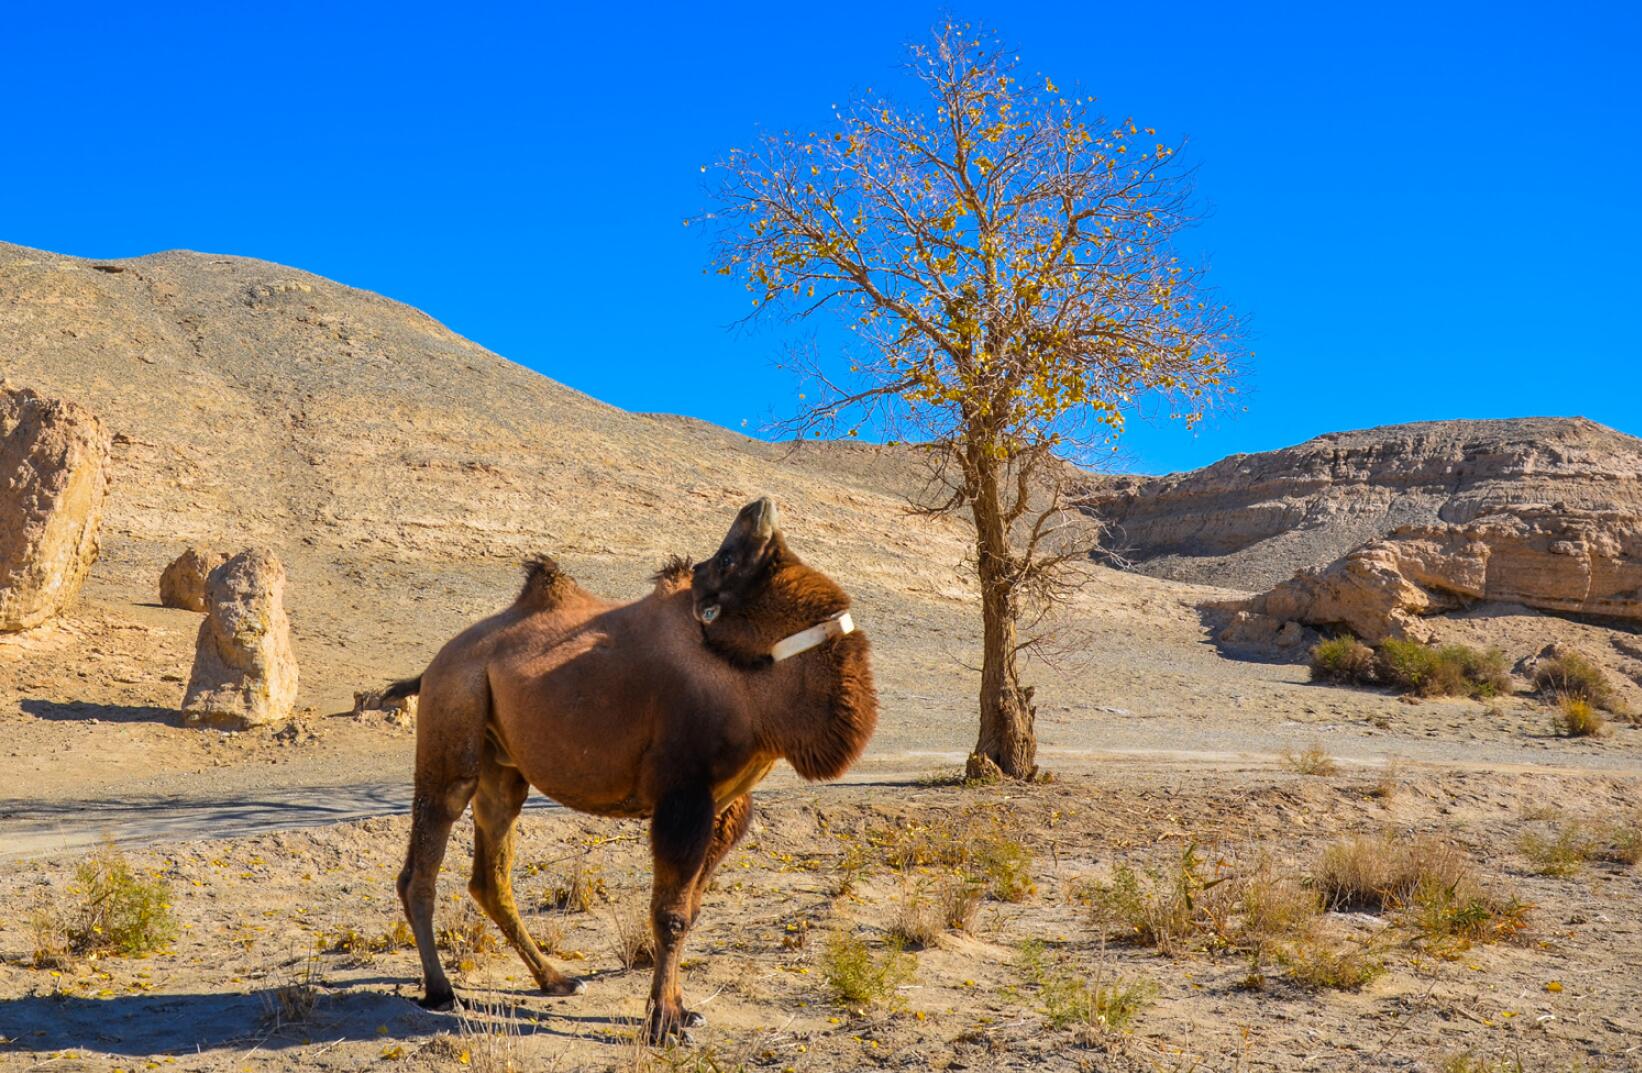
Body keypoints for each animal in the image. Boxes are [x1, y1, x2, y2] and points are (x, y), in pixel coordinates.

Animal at [384, 499, 880, 1038]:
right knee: (427, 852)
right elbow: (670, 914)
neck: (756, 681)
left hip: (503, 764)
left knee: (491, 869)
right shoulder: (684, 795)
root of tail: (434, 665)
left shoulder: (726, 805)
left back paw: (557, 979)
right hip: (456, 709)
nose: (757, 506)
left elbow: (691, 908)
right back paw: (441, 990)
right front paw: (663, 1023)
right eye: (726, 558)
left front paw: (682, 1009)